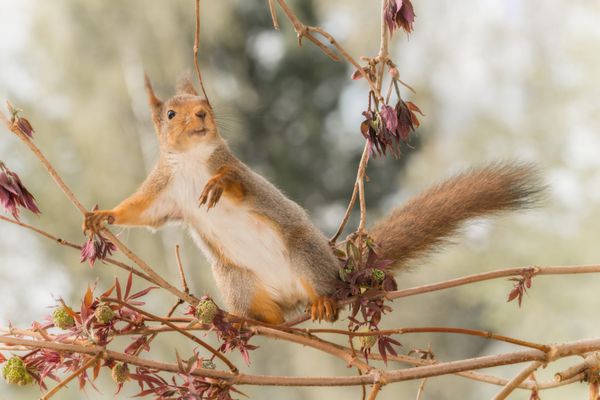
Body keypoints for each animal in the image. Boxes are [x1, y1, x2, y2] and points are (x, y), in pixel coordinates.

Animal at [83, 76, 544, 324]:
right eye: (170, 114)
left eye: (205, 102)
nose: (201, 115)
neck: (195, 160)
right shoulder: (164, 191)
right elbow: (141, 212)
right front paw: (102, 216)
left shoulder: (236, 168)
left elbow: (238, 184)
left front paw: (219, 185)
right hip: (236, 279)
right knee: (269, 314)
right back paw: (251, 321)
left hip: (302, 251)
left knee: (324, 288)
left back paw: (323, 301)